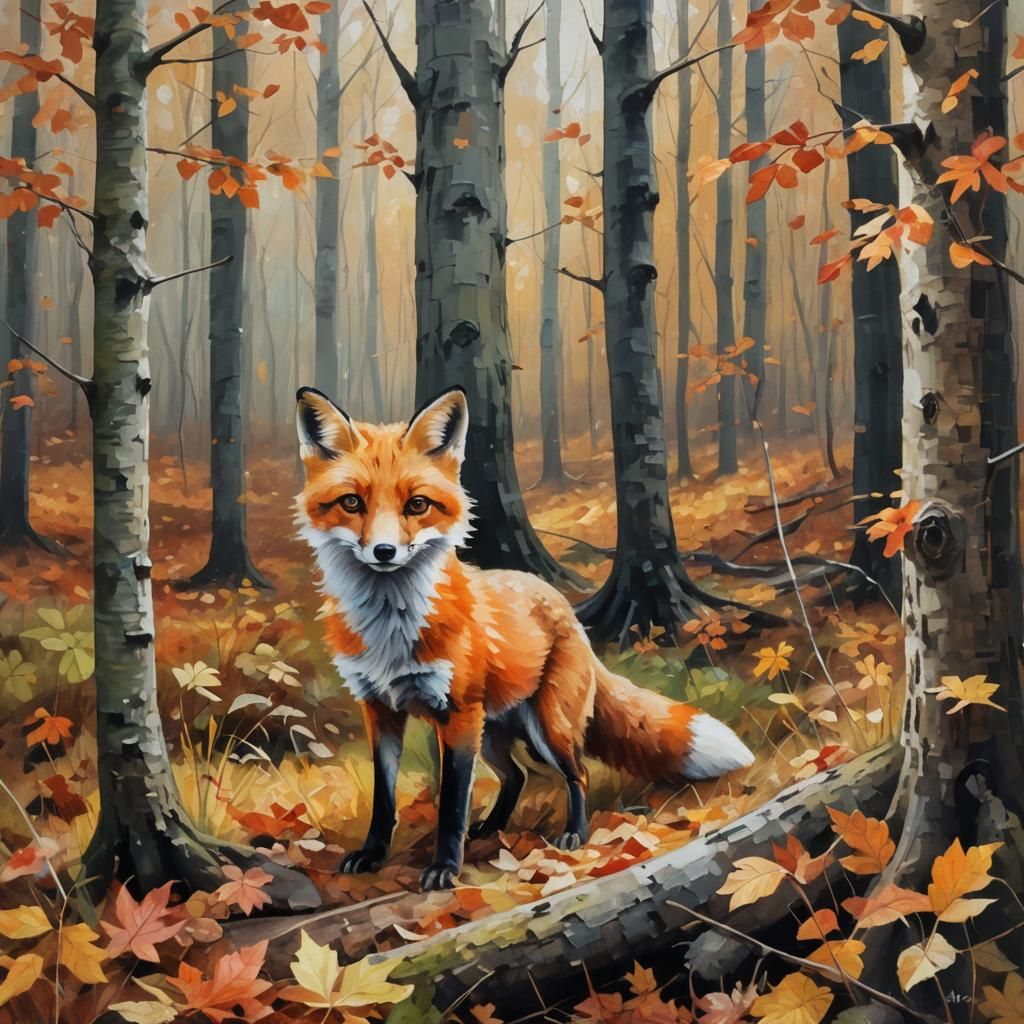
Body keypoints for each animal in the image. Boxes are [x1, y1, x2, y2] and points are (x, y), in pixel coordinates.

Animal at [295, 385, 754, 890]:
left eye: (416, 505)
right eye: (351, 503)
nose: (383, 551)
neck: (390, 629)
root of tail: (564, 606)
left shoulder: (457, 715)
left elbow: (452, 804)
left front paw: (445, 868)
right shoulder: (380, 709)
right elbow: (385, 797)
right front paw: (373, 854)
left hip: (545, 727)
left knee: (578, 775)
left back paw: (574, 834)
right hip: (495, 733)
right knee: (516, 777)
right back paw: (493, 827)